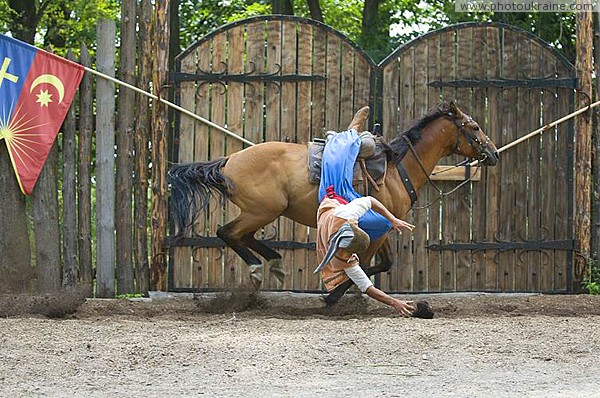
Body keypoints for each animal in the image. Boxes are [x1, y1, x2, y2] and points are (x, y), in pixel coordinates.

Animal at [168, 102, 496, 304]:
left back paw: (275, 264)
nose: (493, 152)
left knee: (241, 236)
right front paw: (334, 295)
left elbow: (383, 263)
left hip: (261, 212)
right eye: (474, 127)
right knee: (228, 233)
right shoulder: (377, 228)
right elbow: (364, 263)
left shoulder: (381, 226)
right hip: (263, 210)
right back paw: (258, 269)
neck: (396, 168)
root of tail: (229, 161)